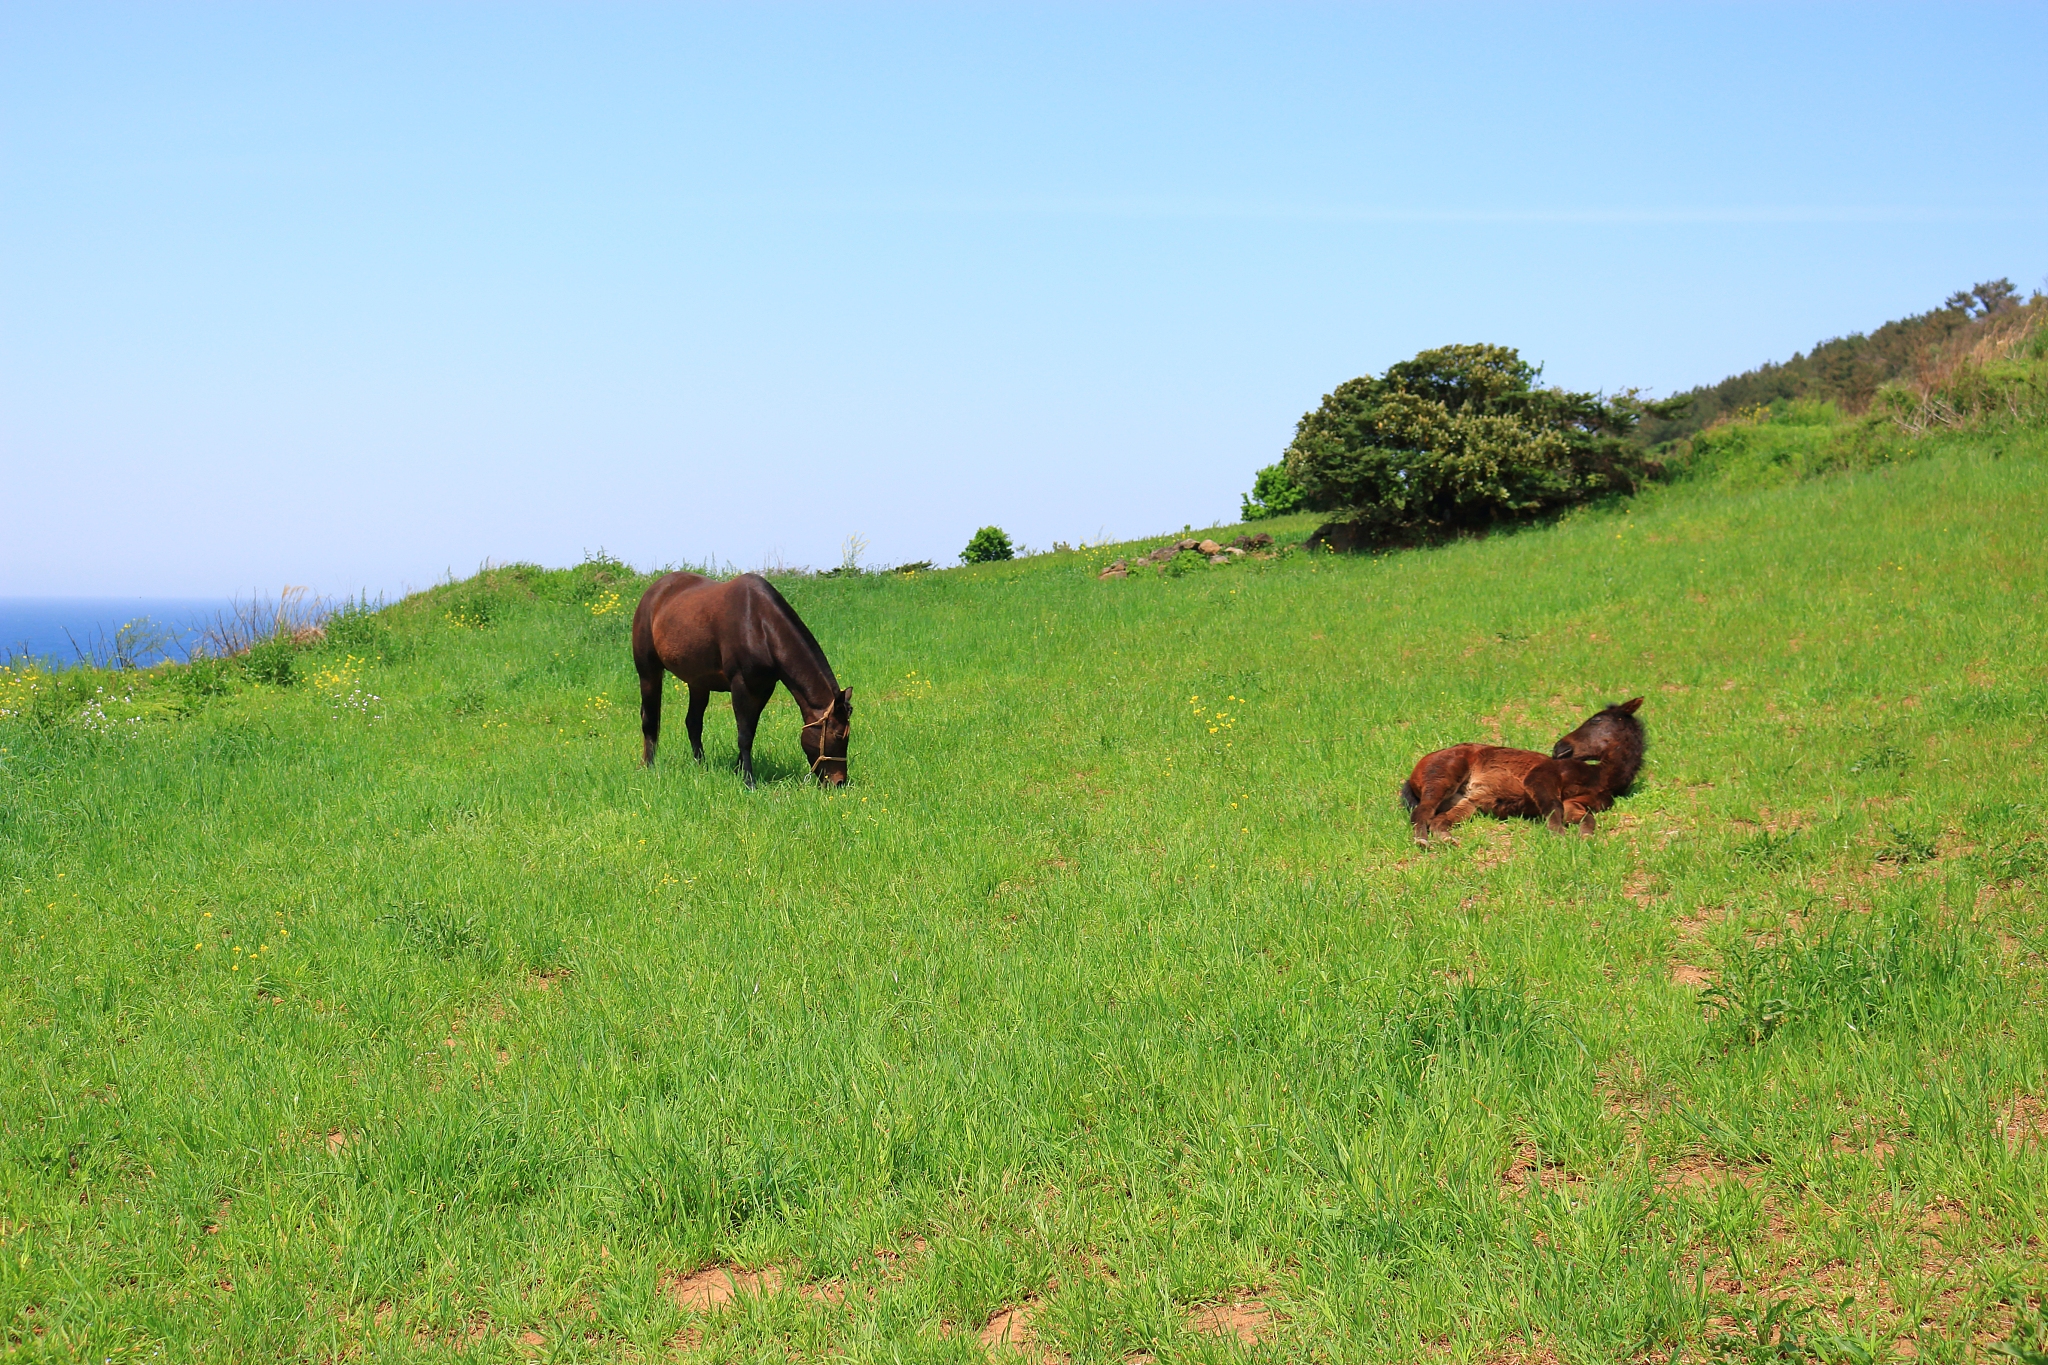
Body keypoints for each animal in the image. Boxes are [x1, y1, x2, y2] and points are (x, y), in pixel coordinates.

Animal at [631, 572, 852, 787]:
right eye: (839, 735)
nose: (840, 782)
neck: (760, 625)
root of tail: (654, 591)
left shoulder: (763, 689)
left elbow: (750, 730)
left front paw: (738, 770)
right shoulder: (741, 686)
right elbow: (744, 735)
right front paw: (748, 781)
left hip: (698, 682)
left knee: (693, 722)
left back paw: (701, 766)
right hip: (649, 672)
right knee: (650, 720)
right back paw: (648, 766)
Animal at [1399, 698, 1644, 845]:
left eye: (1596, 720)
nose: (1559, 748)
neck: (1600, 778)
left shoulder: (1575, 804)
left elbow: (1587, 818)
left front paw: (1585, 837)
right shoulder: (1540, 778)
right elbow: (1554, 810)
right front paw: (1560, 838)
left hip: (1467, 803)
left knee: (1438, 820)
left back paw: (1447, 839)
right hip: (1444, 777)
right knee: (1422, 812)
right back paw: (1422, 841)